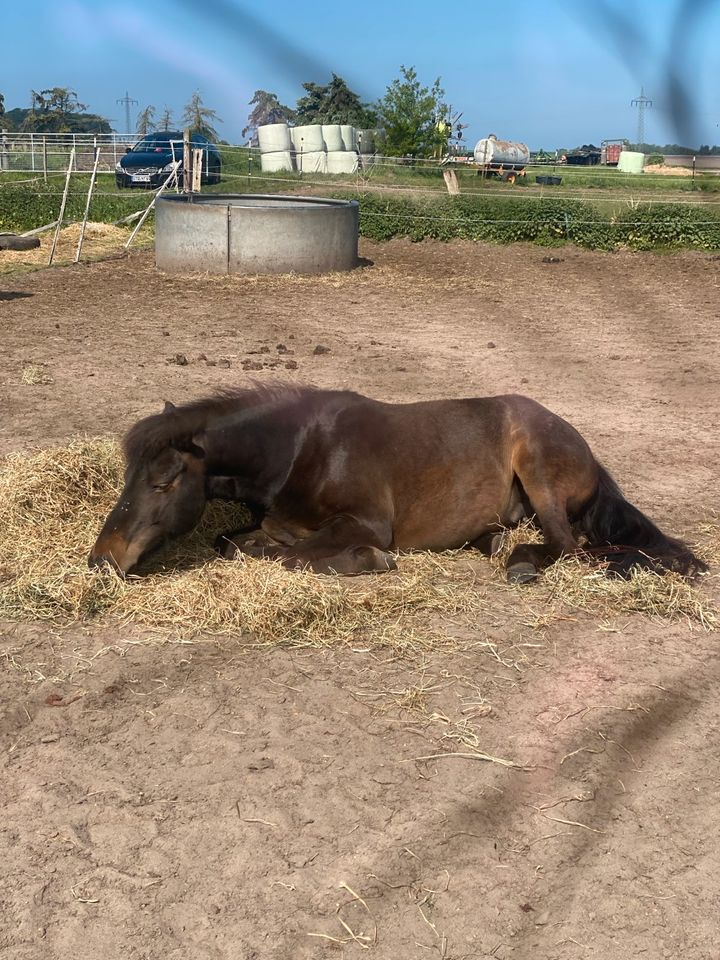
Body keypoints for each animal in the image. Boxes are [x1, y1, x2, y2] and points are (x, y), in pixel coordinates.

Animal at [87, 384, 704, 580]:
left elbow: (294, 556)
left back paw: (522, 561)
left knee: (568, 544)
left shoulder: (365, 523)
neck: (302, 451)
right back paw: (493, 541)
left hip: (538, 469)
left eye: (165, 482)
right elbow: (235, 543)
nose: (102, 559)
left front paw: (369, 562)